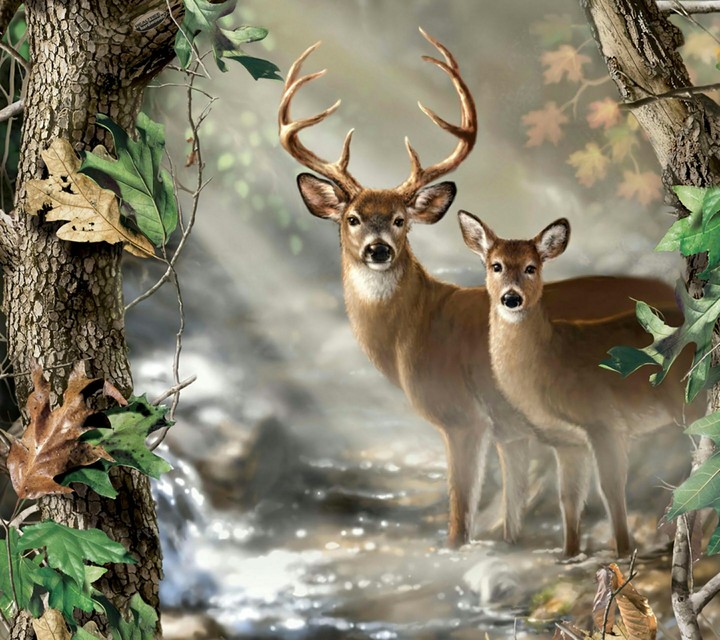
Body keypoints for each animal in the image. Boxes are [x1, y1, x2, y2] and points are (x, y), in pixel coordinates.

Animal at [457, 211, 695, 556]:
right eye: (495, 265)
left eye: (531, 267)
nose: (511, 298)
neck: (551, 362)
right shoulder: (567, 441)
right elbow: (568, 498)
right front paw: (569, 553)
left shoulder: (604, 421)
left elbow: (611, 490)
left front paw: (623, 552)